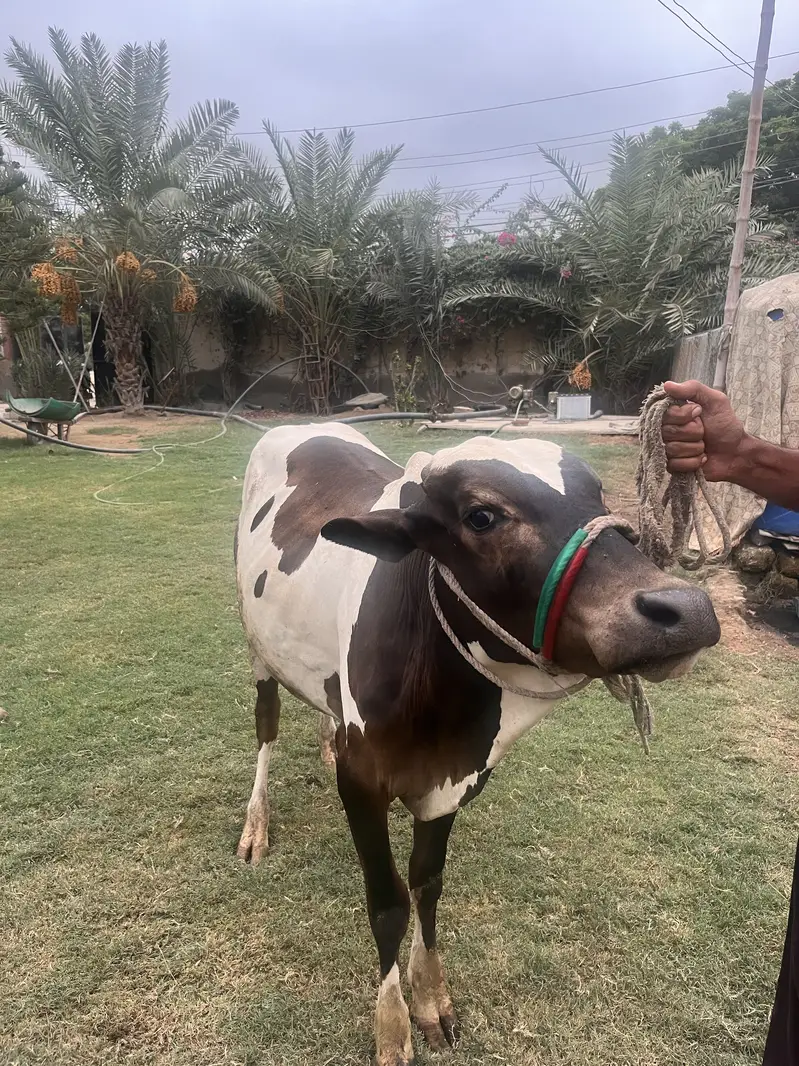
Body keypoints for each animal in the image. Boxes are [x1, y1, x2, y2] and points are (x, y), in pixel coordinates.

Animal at [235, 423, 720, 1066]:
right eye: (481, 515)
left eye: (597, 495)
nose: (685, 609)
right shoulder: (361, 780)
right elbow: (388, 903)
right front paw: (392, 1027)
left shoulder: (454, 780)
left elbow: (427, 886)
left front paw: (430, 998)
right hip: (256, 645)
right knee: (266, 725)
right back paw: (256, 823)